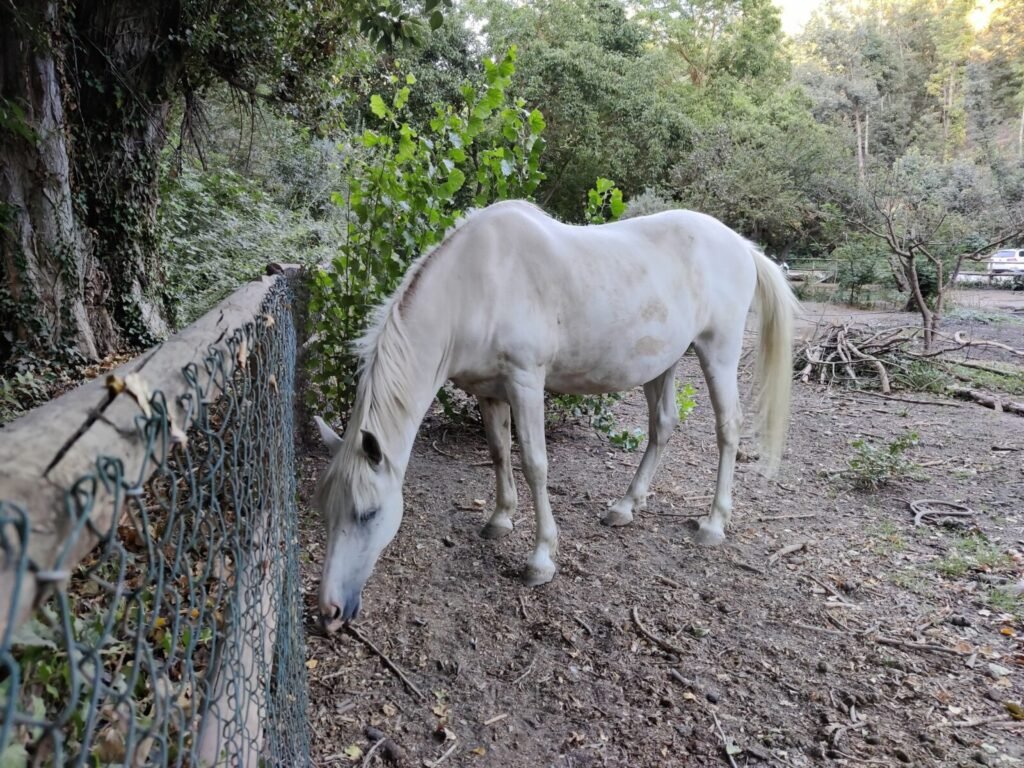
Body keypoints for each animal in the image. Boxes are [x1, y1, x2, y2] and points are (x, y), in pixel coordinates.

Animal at [313, 200, 798, 632]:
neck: (475, 284)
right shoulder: (490, 393)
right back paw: (626, 506)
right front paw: (500, 519)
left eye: (369, 513)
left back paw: (714, 524)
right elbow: (499, 454)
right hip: (663, 362)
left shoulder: (526, 382)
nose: (329, 612)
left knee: (727, 428)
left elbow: (535, 465)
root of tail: (740, 245)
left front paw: (541, 559)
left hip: (718, 351)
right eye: (326, 509)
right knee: (662, 426)